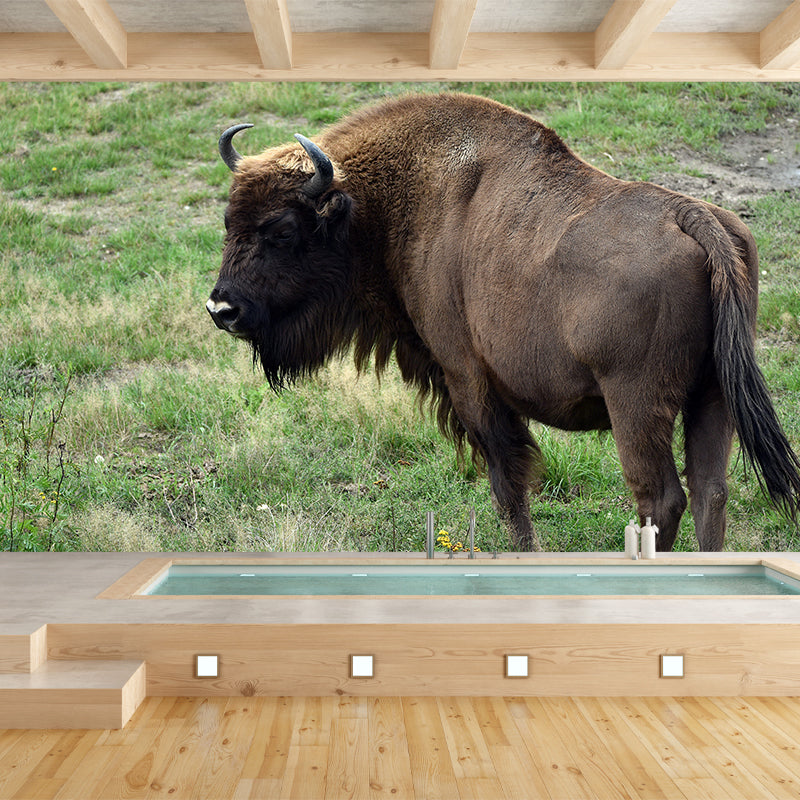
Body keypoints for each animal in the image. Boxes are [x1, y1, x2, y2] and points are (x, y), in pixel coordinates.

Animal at [207, 92, 800, 551]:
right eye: (228, 221)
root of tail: (692, 215)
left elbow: (506, 481)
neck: (390, 202)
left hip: (636, 403)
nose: (222, 310)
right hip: (714, 394)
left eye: (282, 230)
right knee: (710, 492)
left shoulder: (466, 377)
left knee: (661, 498)